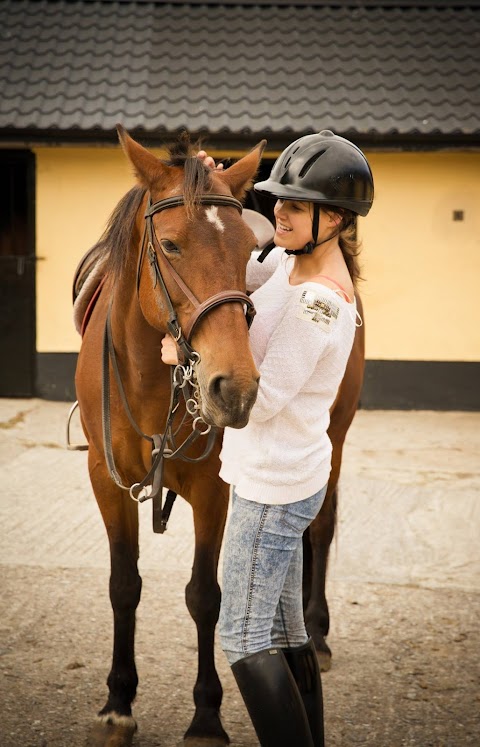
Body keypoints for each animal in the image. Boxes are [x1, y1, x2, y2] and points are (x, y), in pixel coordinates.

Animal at [76, 125, 264, 744]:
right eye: (173, 245)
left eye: (247, 249)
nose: (236, 386)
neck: (150, 379)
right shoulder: (106, 480)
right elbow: (123, 584)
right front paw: (118, 702)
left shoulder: (213, 487)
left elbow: (205, 596)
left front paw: (206, 717)